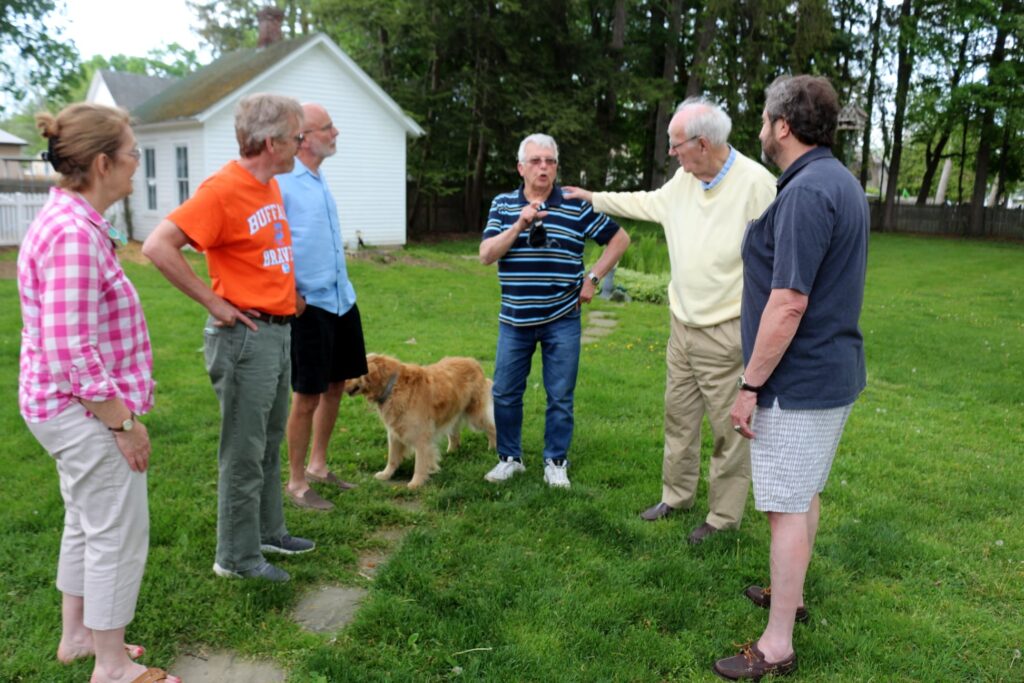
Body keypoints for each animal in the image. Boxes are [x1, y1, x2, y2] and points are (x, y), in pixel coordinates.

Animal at [345, 353, 497, 488]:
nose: (342, 384)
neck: (393, 386)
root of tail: (473, 361)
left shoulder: (421, 436)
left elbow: (420, 463)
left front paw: (416, 483)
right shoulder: (394, 433)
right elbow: (392, 458)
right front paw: (386, 474)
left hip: (476, 415)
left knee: (492, 428)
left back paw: (492, 448)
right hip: (453, 414)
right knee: (455, 435)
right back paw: (452, 452)